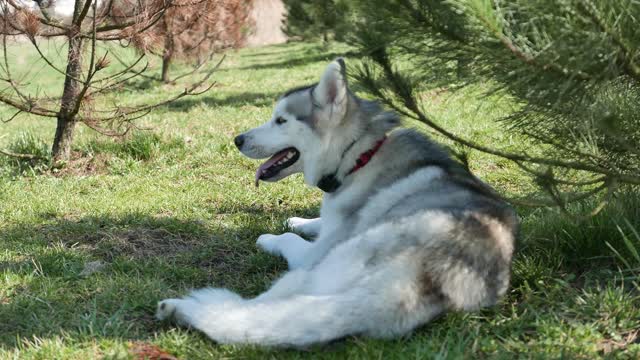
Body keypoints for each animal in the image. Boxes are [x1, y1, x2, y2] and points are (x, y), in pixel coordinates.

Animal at [156, 58, 520, 346]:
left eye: (281, 120)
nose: (237, 139)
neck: (358, 155)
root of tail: (421, 279)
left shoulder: (315, 252)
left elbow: (289, 239)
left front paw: (272, 235)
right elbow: (316, 220)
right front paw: (300, 220)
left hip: (309, 274)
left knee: (257, 314)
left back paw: (182, 309)